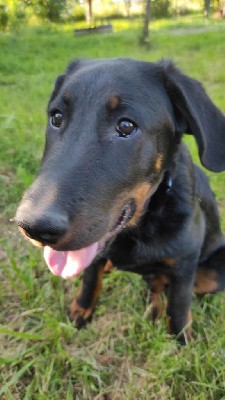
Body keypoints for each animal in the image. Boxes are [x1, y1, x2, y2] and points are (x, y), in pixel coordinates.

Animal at [15, 58, 225, 344]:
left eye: (126, 126)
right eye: (56, 118)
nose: (33, 227)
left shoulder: (185, 263)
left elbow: (179, 305)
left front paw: (181, 338)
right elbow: (90, 279)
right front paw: (82, 309)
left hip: (215, 272)